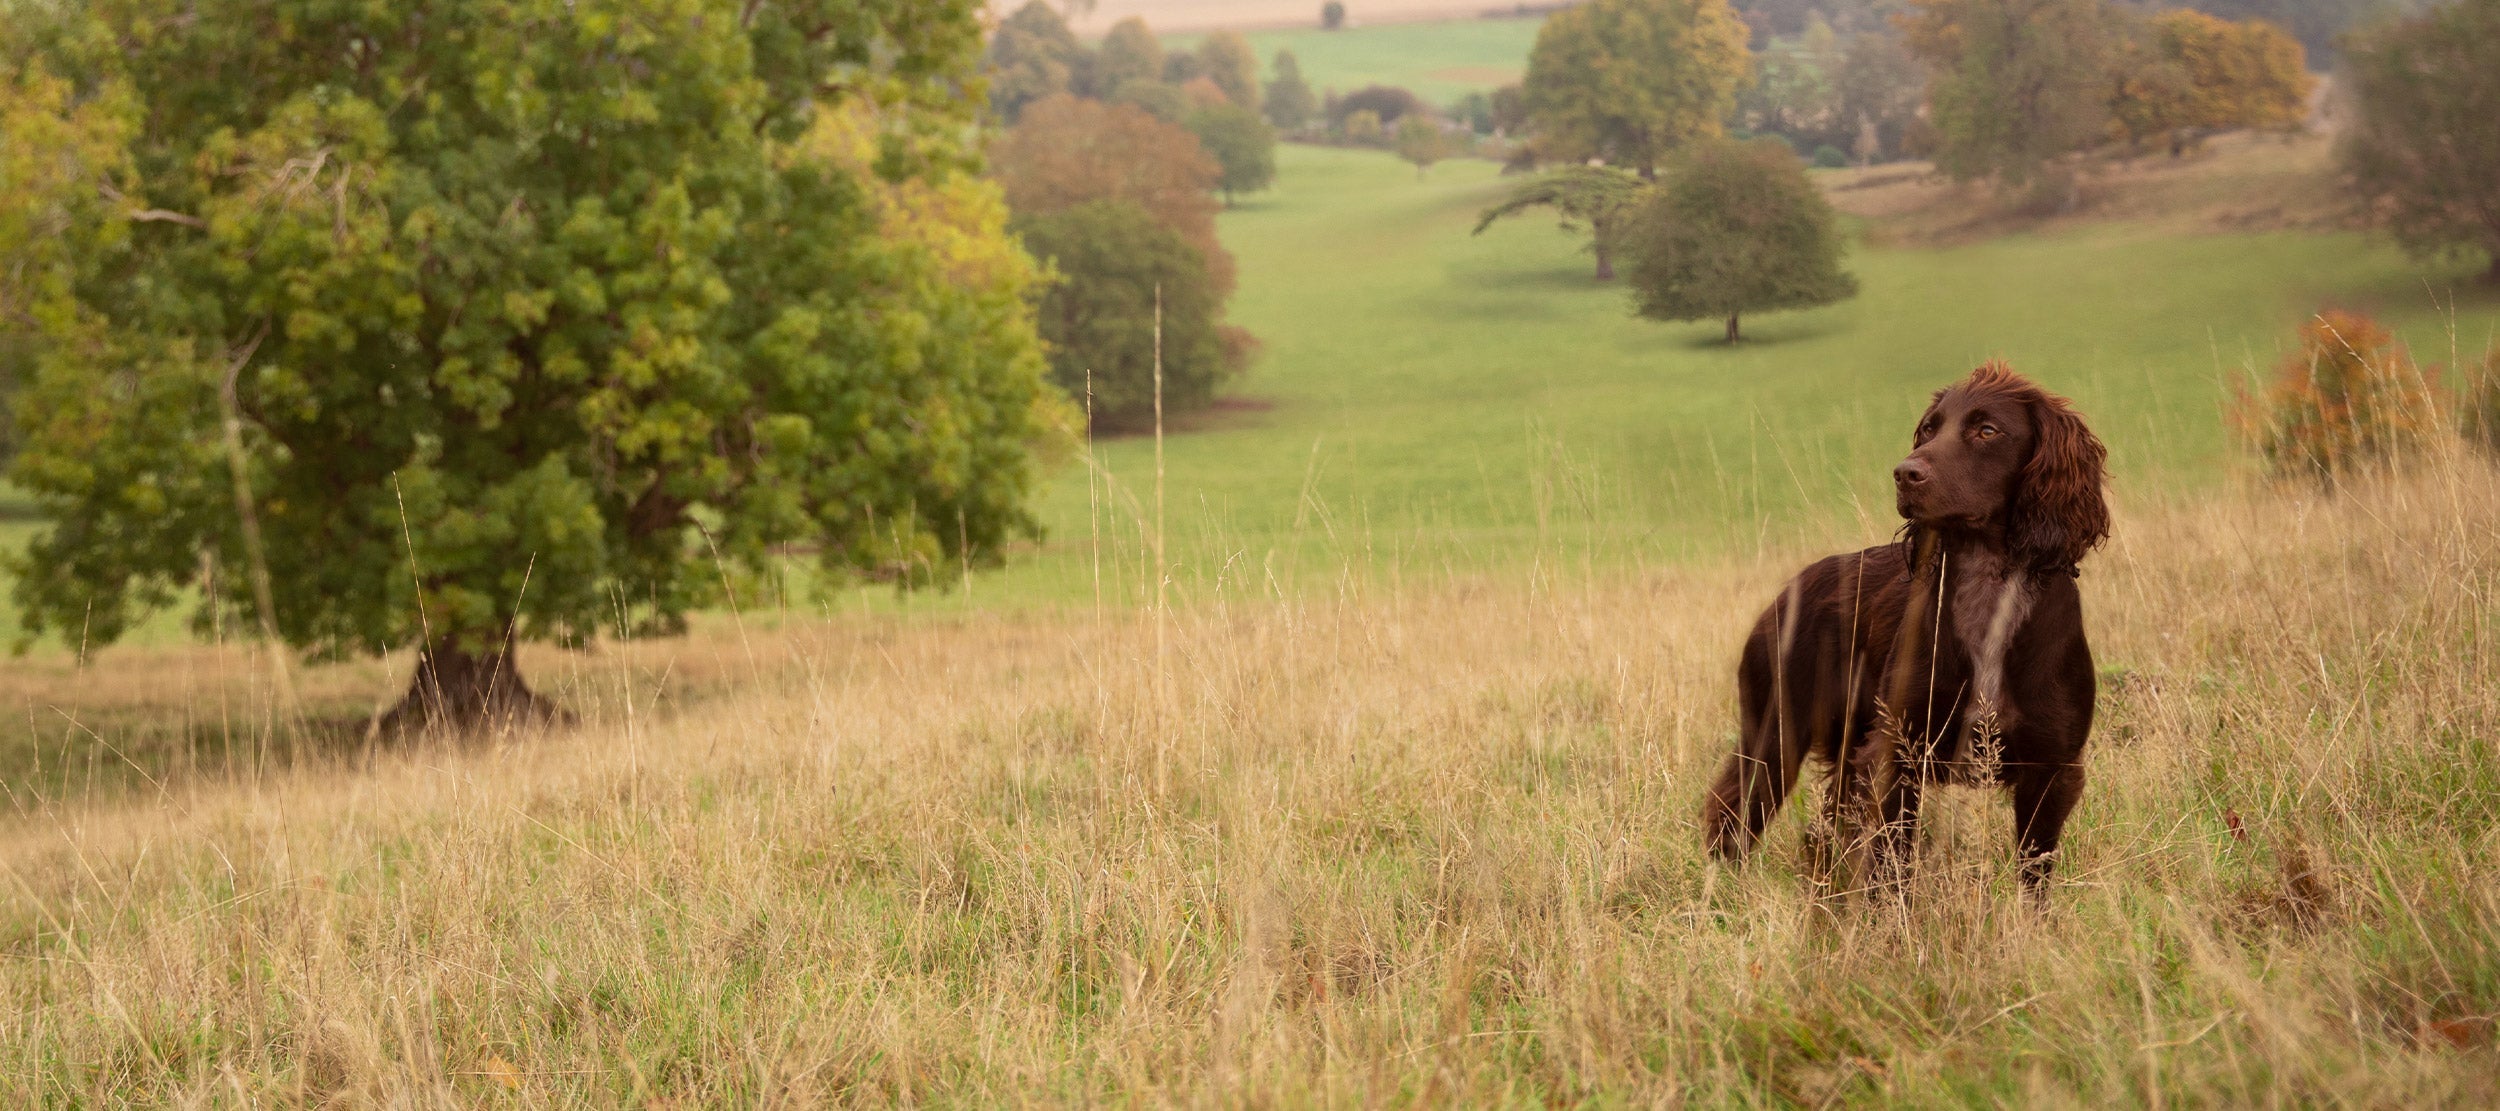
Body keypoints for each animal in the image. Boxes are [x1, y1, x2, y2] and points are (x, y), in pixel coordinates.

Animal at [1700, 365, 2110, 895]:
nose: (1904, 473)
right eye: (1930, 429)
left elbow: (2033, 871)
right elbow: (1892, 862)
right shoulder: (1898, 751)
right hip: (1775, 733)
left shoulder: (2052, 765)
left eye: (1987, 430)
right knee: (1733, 810)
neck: (1987, 591)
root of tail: (1789, 589)